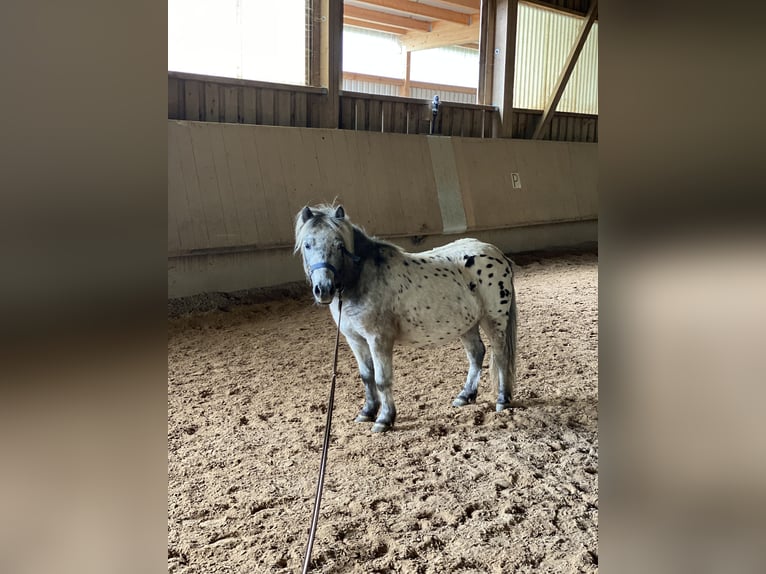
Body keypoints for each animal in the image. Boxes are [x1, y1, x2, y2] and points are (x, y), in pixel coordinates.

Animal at [296, 205, 520, 434]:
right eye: (307, 245)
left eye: (340, 245)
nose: (323, 289)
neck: (363, 280)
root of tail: (495, 252)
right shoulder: (355, 340)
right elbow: (367, 376)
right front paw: (367, 412)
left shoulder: (379, 339)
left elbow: (381, 379)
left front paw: (384, 419)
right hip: (467, 324)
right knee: (477, 353)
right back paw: (465, 396)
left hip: (493, 319)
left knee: (501, 355)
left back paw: (502, 400)